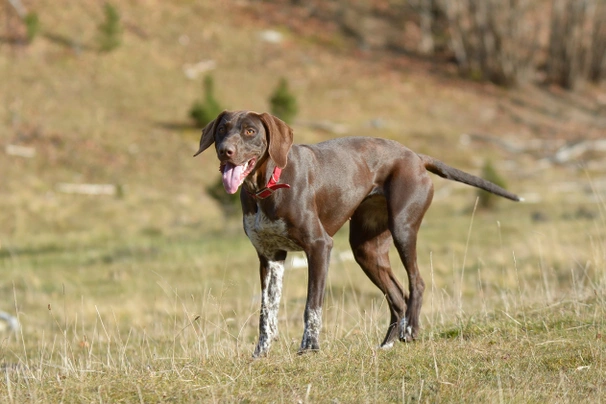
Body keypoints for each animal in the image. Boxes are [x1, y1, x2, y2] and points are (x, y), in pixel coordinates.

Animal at [195, 110, 524, 356]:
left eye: (250, 131)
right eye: (222, 129)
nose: (225, 151)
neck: (268, 185)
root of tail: (415, 156)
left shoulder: (319, 247)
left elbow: (311, 306)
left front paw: (309, 348)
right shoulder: (270, 257)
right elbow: (267, 312)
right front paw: (260, 354)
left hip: (403, 229)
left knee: (416, 283)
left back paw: (411, 332)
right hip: (366, 250)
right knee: (397, 297)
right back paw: (388, 344)